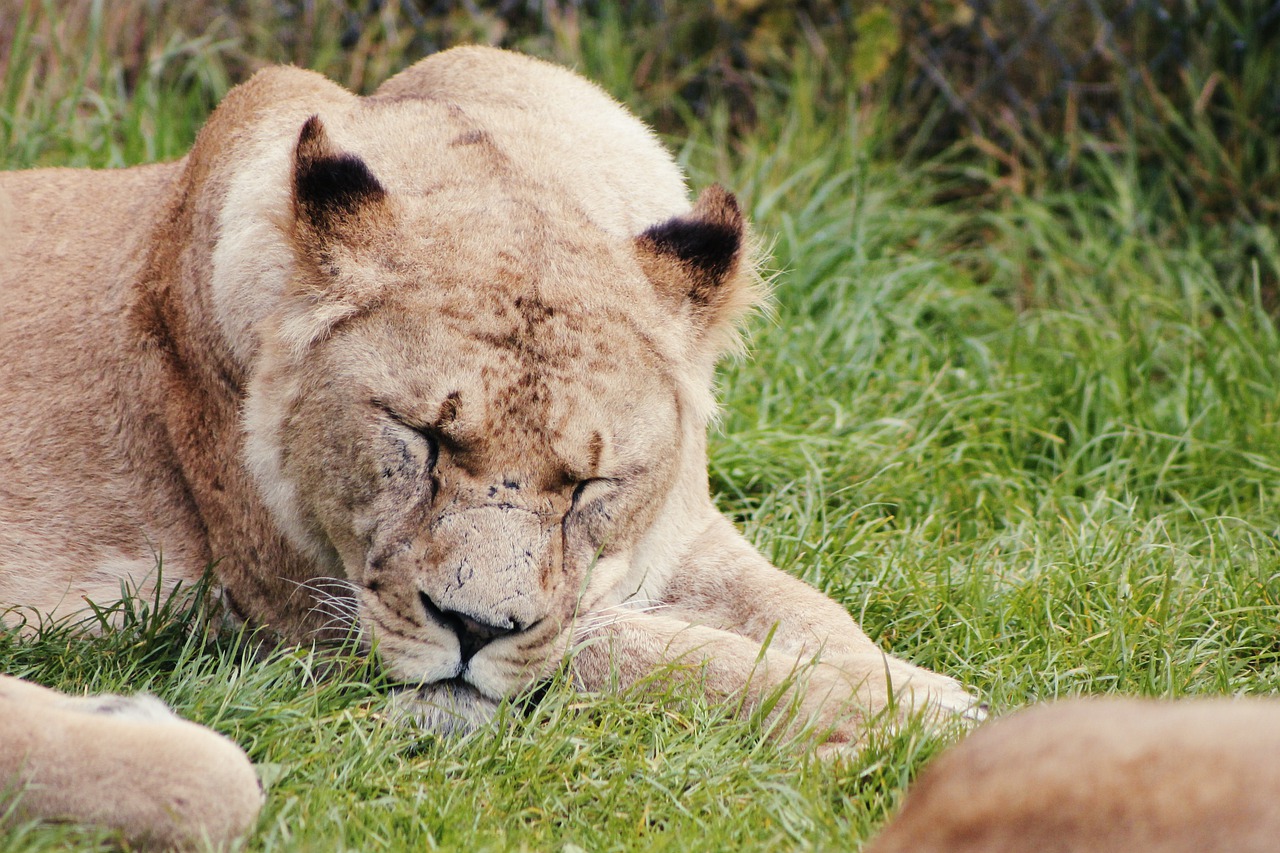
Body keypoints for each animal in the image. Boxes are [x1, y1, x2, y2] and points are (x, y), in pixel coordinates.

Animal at [1, 45, 979, 839]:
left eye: (589, 486)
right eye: (422, 438)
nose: (472, 628)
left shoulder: (685, 532)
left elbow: (807, 611)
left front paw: (905, 693)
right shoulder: (309, 613)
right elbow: (649, 655)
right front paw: (913, 719)